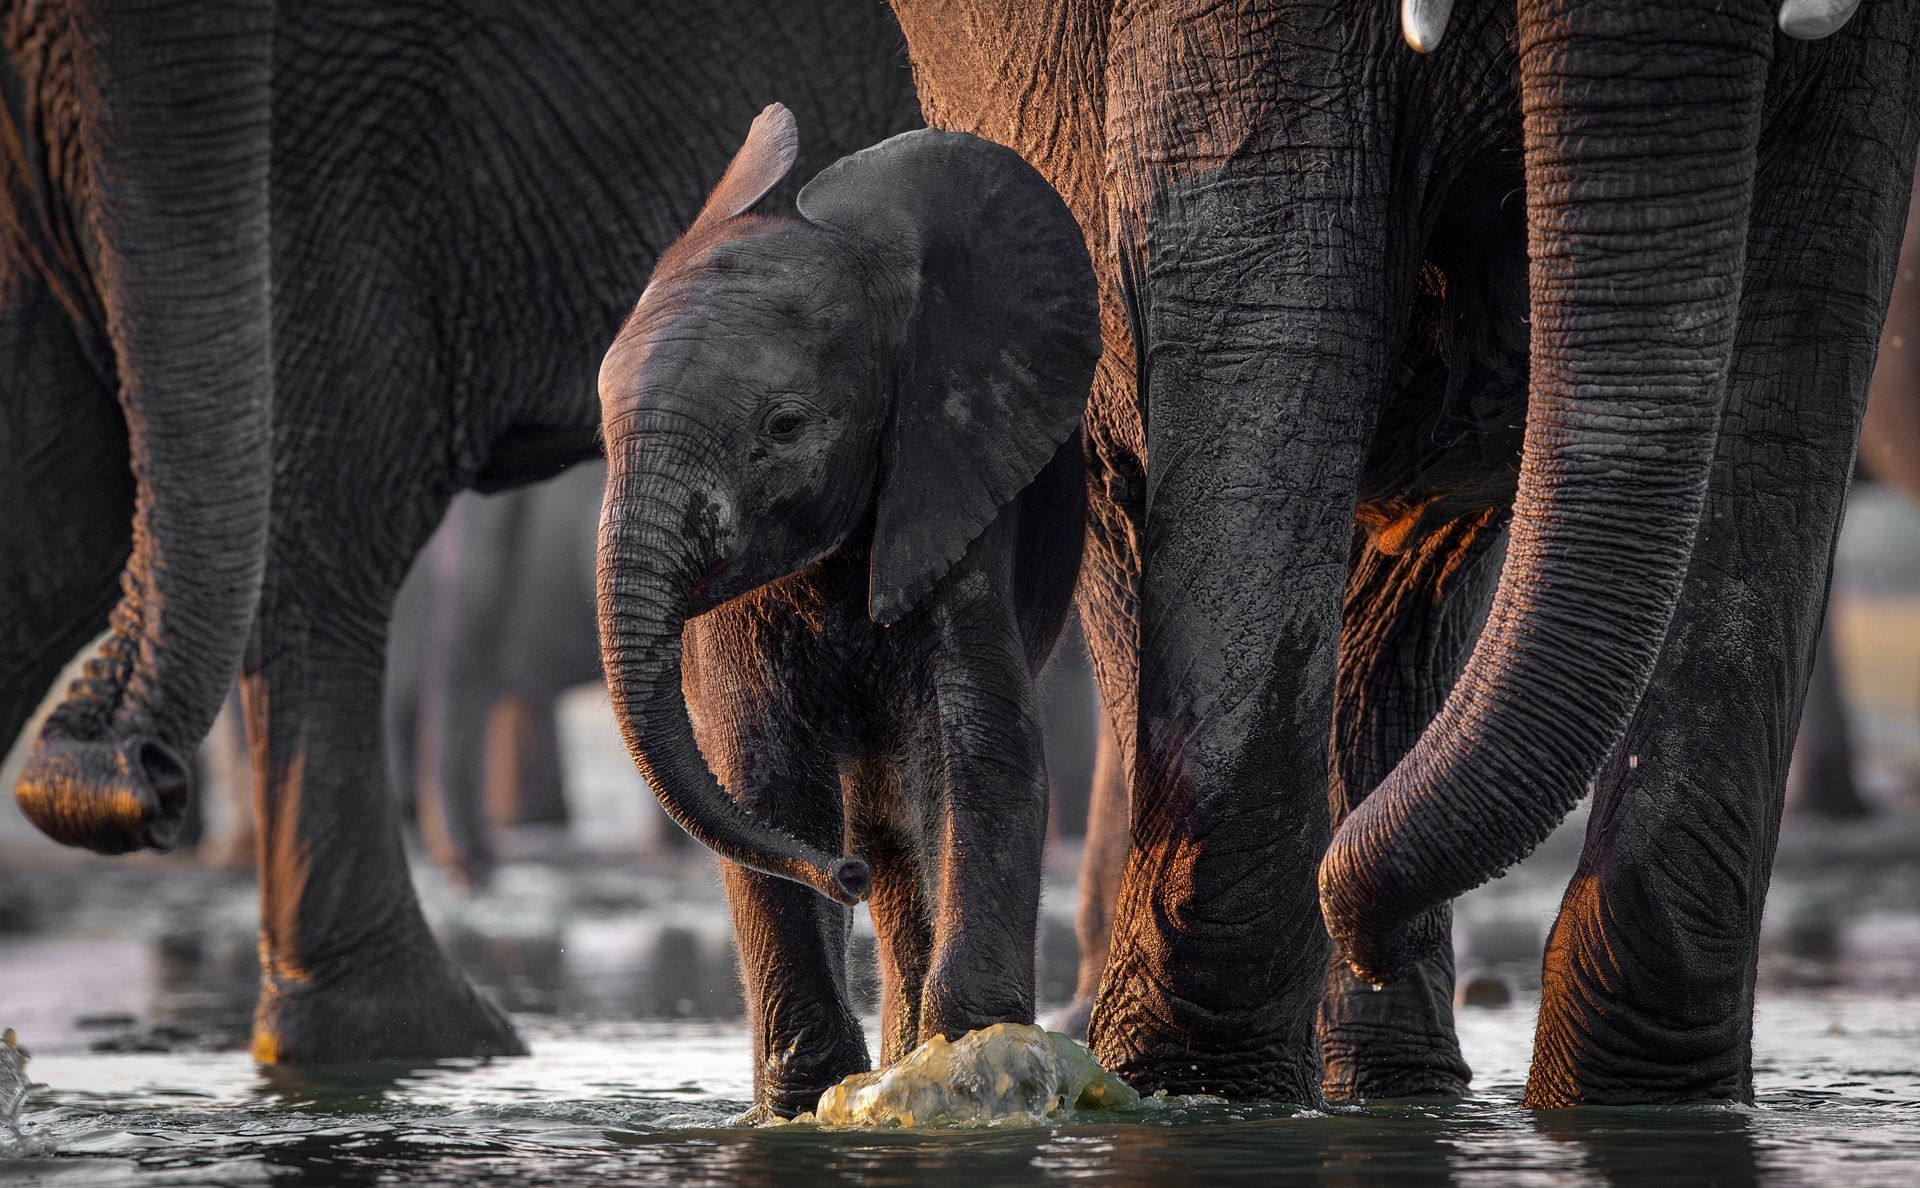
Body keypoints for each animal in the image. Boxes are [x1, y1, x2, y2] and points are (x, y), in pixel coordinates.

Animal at [594, 106, 1098, 1115]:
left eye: (784, 428)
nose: (844, 881)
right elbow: (760, 773)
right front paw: (803, 1103)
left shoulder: (958, 480)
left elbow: (983, 748)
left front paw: (973, 1063)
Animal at [888, 0, 1920, 1107]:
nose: (1362, 926)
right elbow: (1260, 282)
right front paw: (1195, 1092)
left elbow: (1801, 339)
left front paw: (1649, 1106)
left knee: (1406, 596)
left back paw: (1400, 1082)